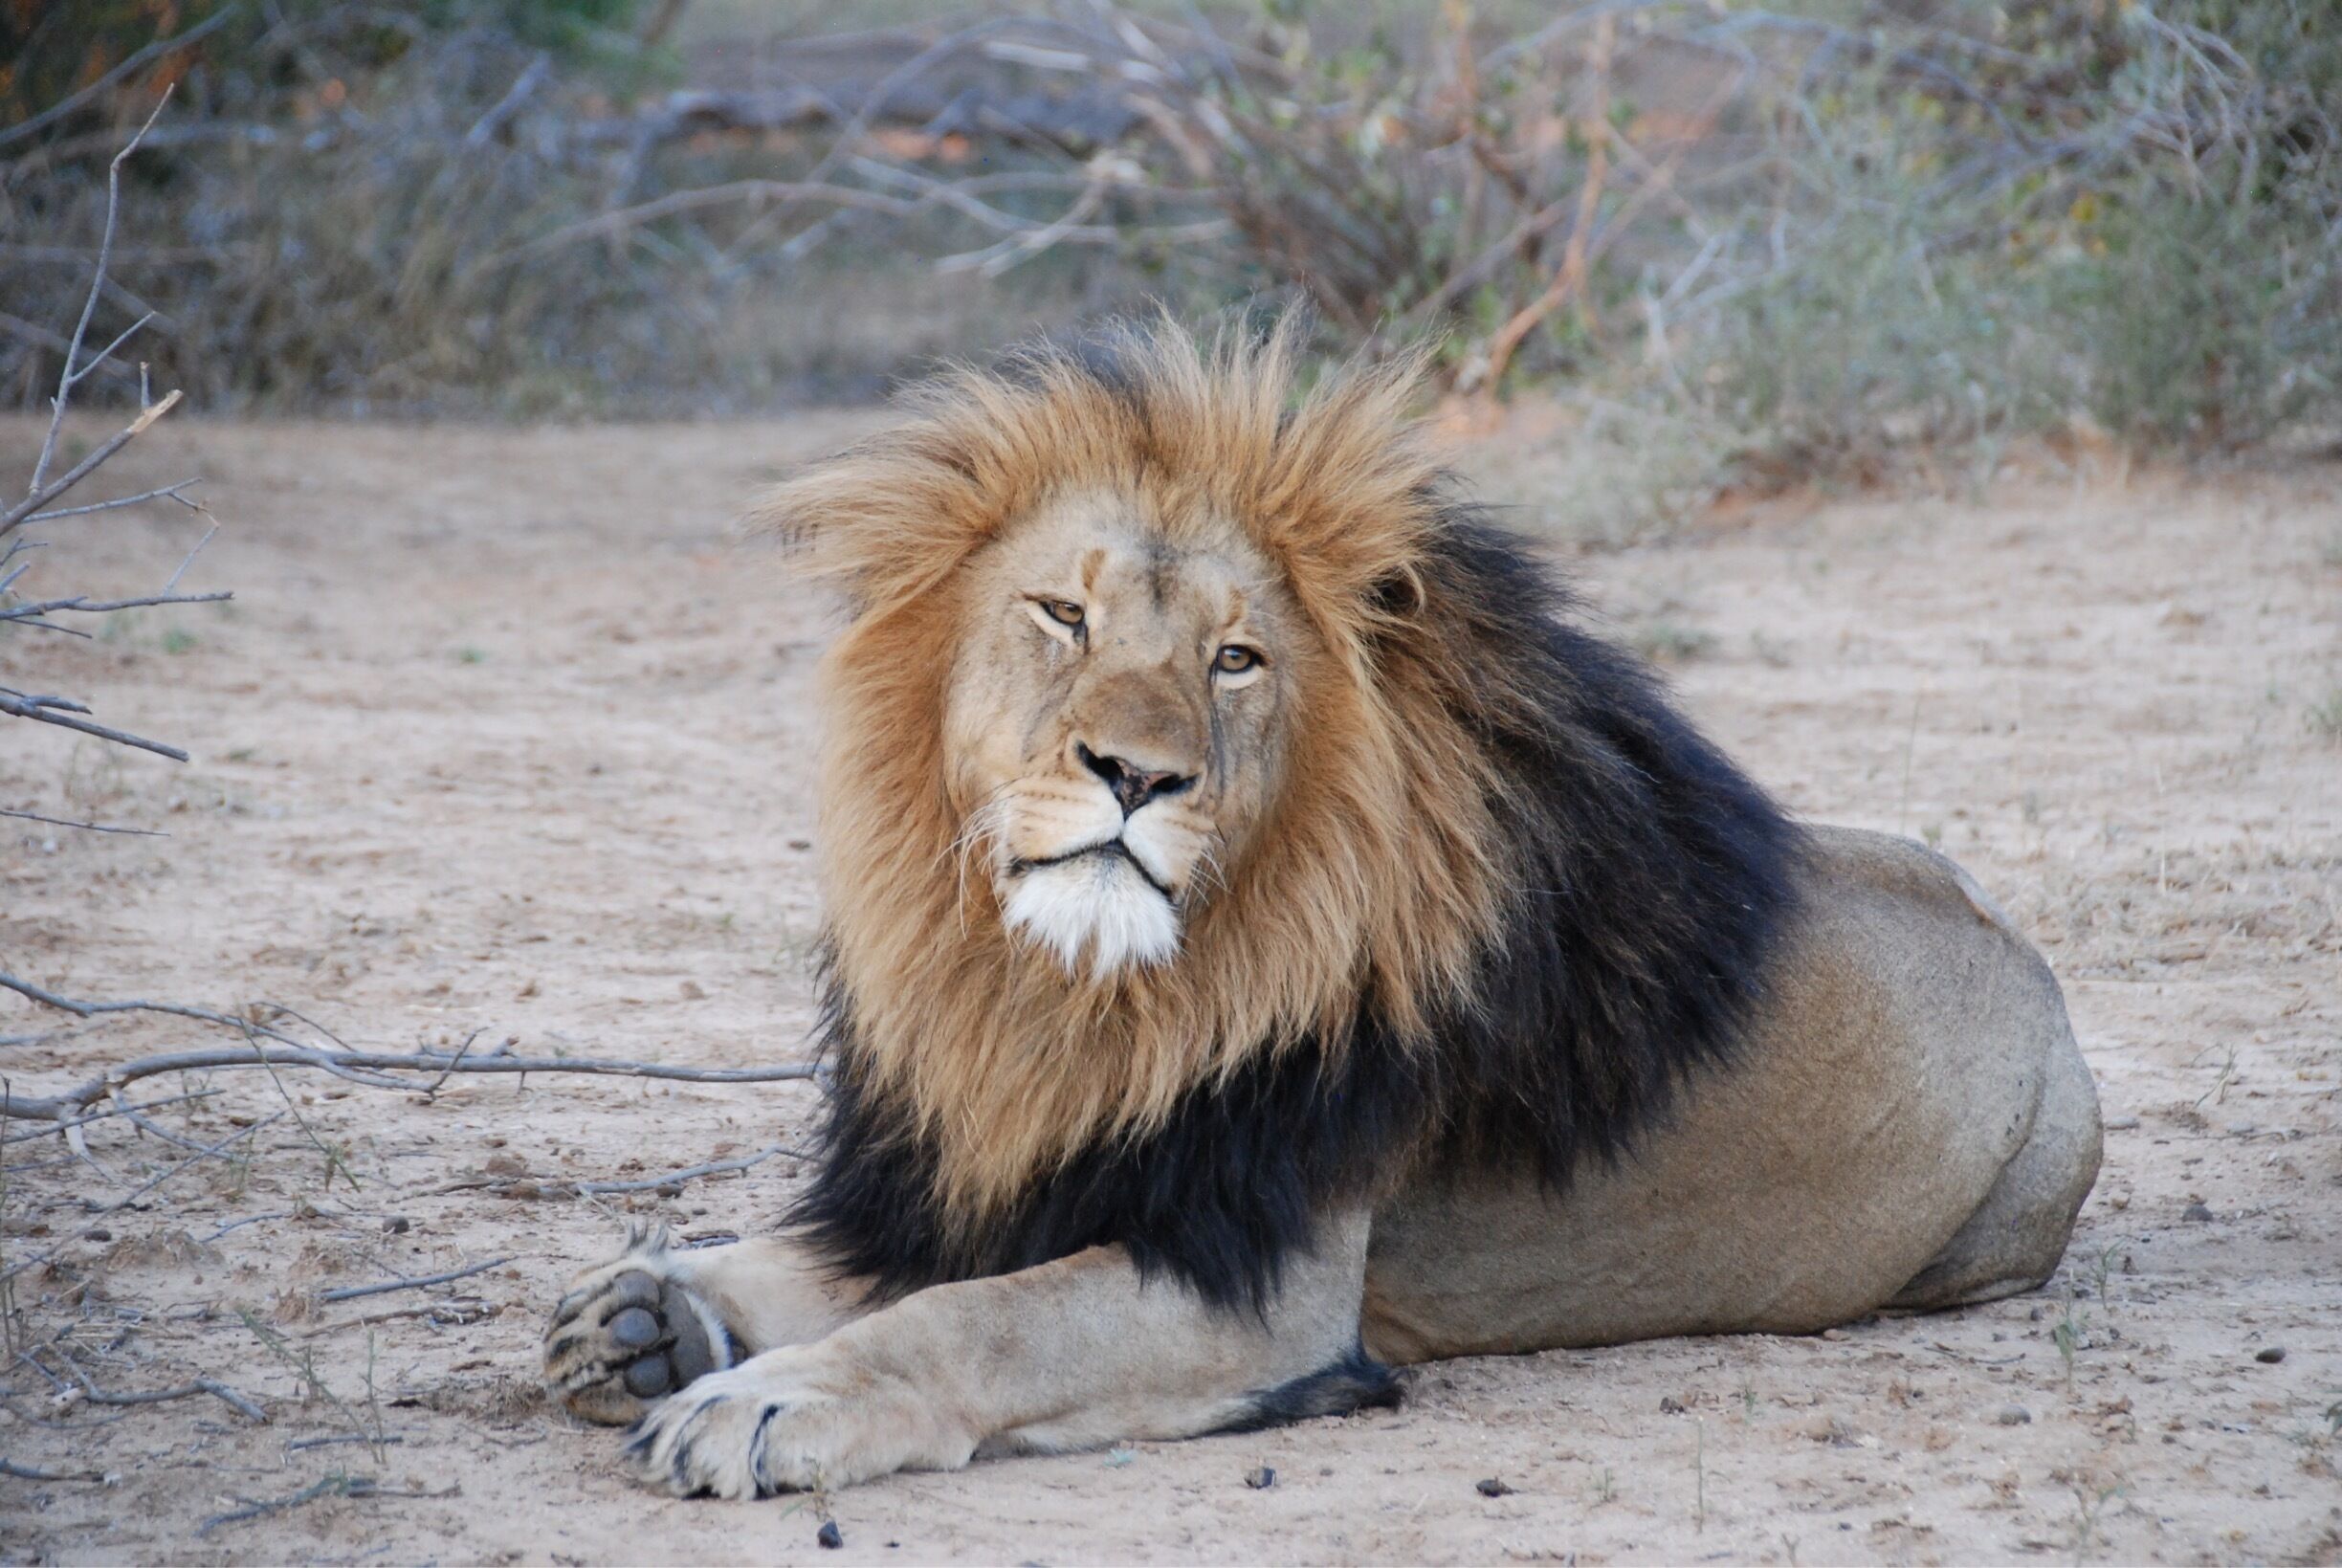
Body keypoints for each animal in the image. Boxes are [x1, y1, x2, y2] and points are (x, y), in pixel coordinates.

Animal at [542, 319, 2101, 1500]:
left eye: (1234, 659)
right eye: (1062, 615)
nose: (1135, 772)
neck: (1064, 994)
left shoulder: (1263, 1281)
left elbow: (979, 1318)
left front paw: (764, 1399)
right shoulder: (982, 1163)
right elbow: (828, 1258)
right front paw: (652, 1310)